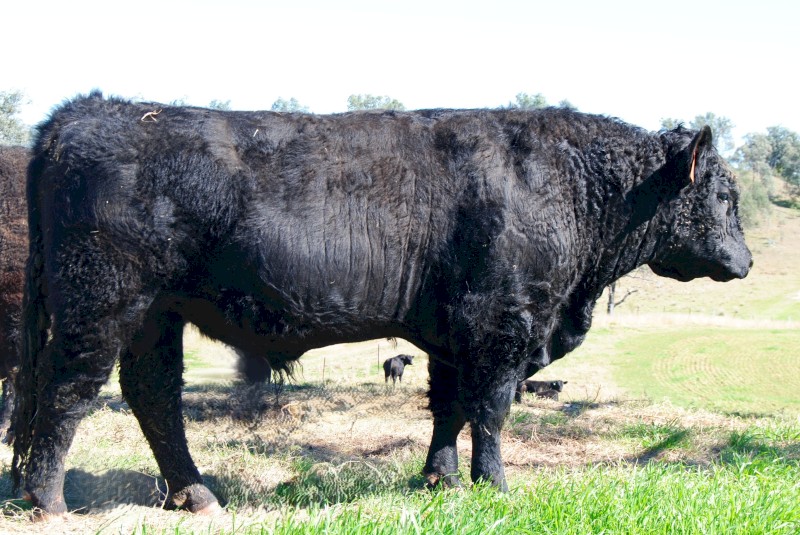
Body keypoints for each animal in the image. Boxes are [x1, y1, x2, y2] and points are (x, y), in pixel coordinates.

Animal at [13, 92, 751, 516]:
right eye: (723, 194)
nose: (744, 261)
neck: (571, 183)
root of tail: (88, 110)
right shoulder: (500, 327)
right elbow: (490, 411)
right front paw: (495, 486)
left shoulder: (455, 336)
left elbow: (448, 408)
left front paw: (440, 481)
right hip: (103, 306)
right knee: (67, 390)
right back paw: (47, 500)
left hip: (154, 316)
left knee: (154, 397)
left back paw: (194, 496)